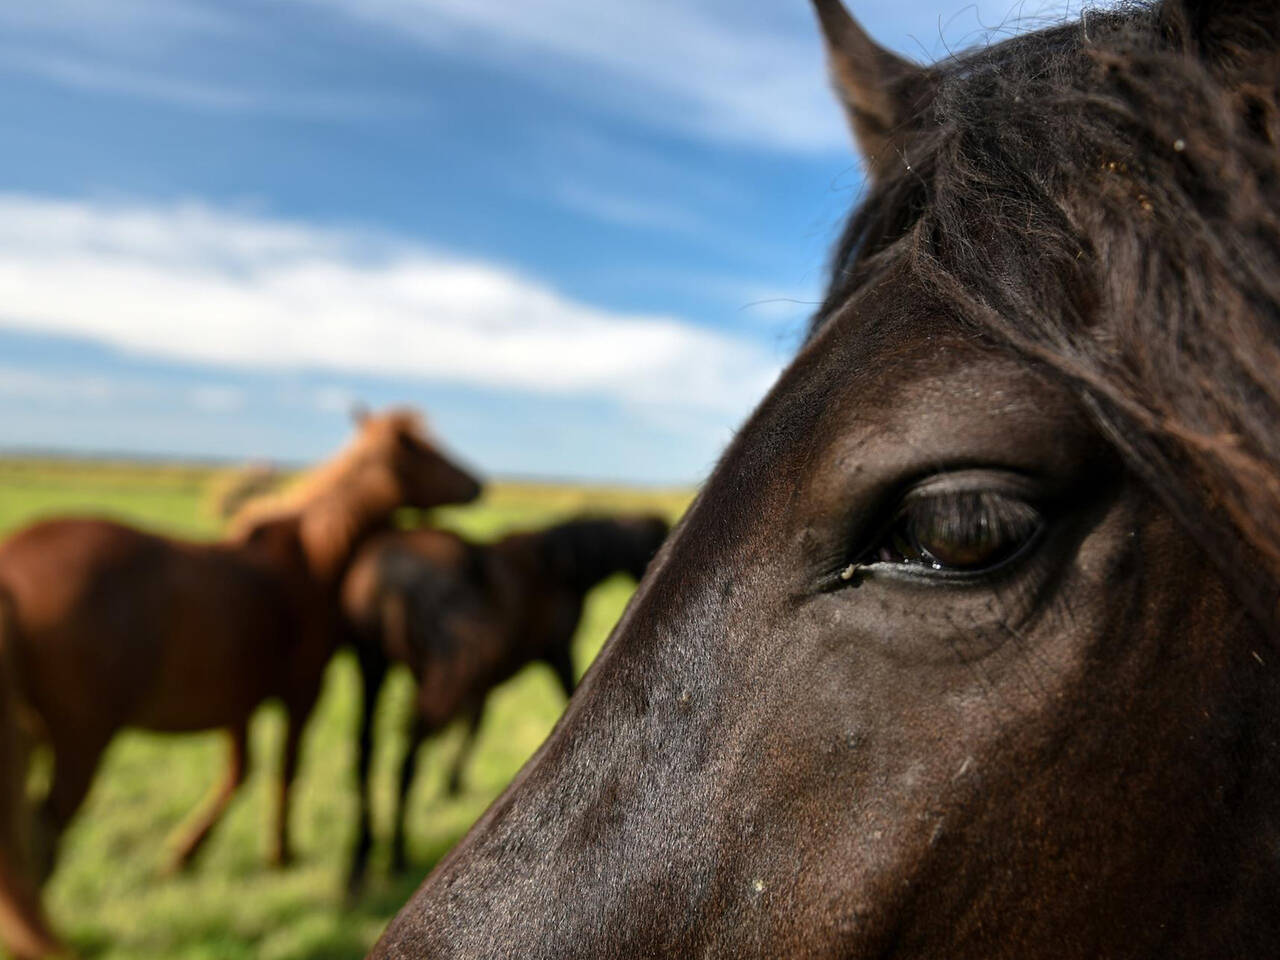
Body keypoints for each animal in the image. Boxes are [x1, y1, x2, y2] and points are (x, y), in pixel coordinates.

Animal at [0, 409, 478, 957]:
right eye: (426, 452)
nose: (477, 484)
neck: (312, 560)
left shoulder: (238, 702)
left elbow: (238, 774)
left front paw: (184, 855)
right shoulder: (302, 694)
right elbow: (284, 772)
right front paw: (281, 854)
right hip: (80, 739)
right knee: (40, 840)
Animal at [345, 514, 675, 901]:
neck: (560, 564)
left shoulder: (480, 682)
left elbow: (475, 725)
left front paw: (451, 785)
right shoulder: (556, 653)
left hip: (374, 666)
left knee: (367, 751)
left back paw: (361, 860)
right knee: (407, 759)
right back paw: (396, 853)